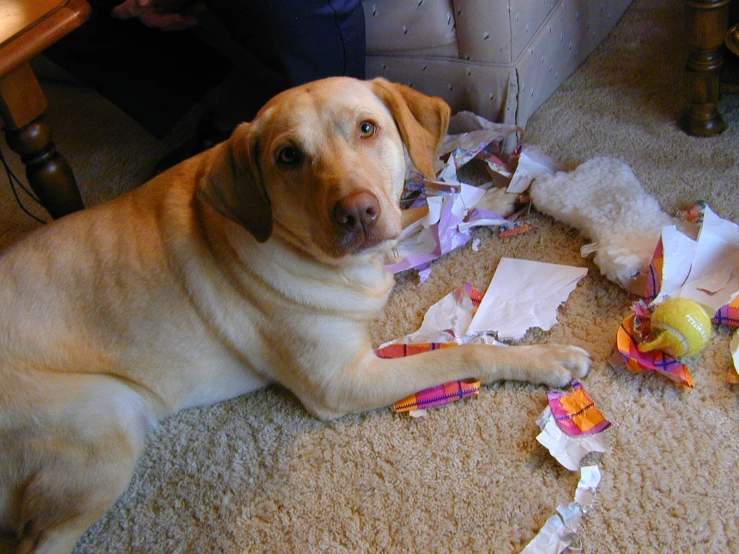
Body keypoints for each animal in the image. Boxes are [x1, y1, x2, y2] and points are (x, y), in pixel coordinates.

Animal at [0, 76, 588, 548]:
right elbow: (460, 354)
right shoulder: (341, 382)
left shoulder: (388, 234)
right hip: (106, 425)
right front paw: (544, 359)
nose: (357, 212)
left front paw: (487, 202)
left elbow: (418, 211)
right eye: (287, 157)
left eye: (368, 128)